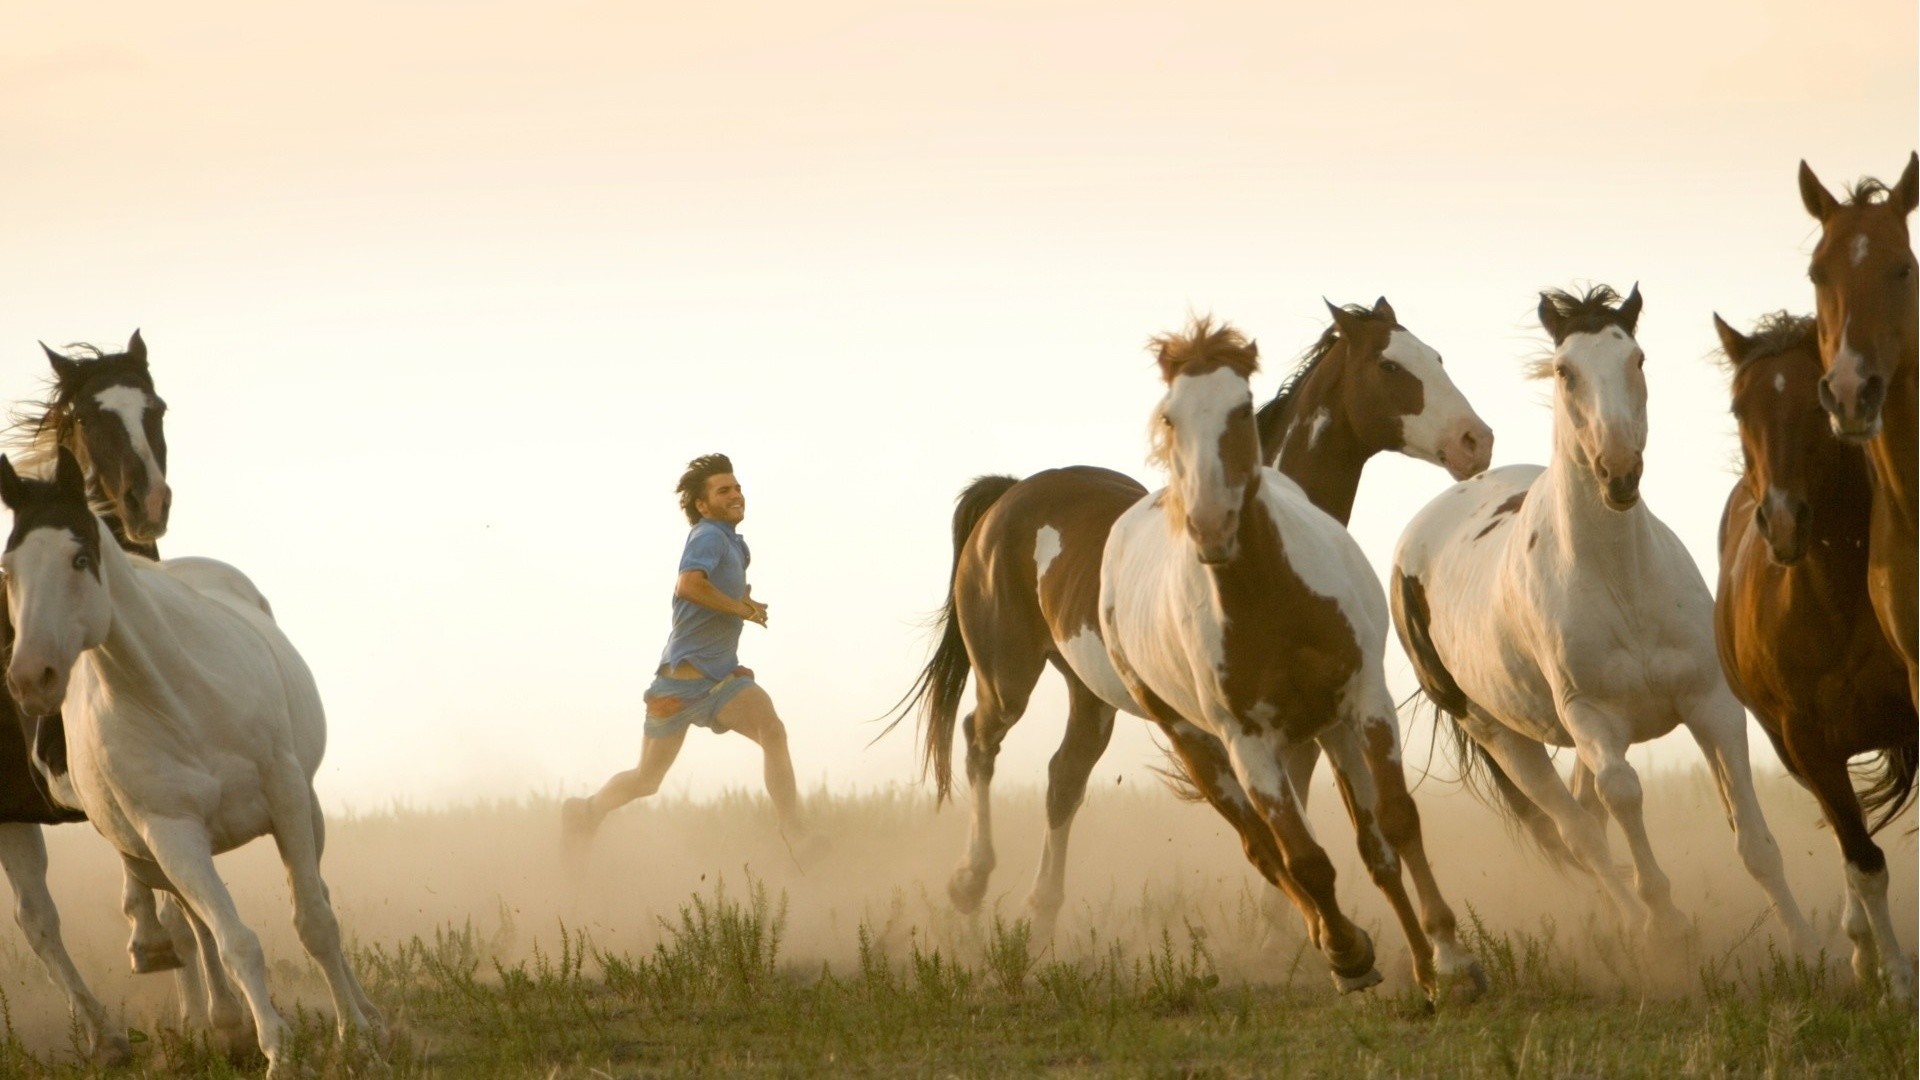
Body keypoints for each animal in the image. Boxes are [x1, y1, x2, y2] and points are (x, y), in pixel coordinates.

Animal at [0, 331, 185, 1063]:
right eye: (84, 417)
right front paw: (150, 940)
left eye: (155, 408)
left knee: (36, 919)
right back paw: (105, 1036)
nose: (145, 505)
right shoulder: (58, 770)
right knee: (38, 923)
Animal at [0, 448, 380, 1076]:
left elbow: (316, 924)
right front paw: (278, 1052)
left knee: (318, 898)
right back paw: (221, 1024)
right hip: (148, 852)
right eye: (9, 570)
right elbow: (233, 942)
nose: (32, 679)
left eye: (79, 558)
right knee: (175, 926)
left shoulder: (287, 799)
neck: (174, 698)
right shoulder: (172, 835)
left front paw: (359, 1039)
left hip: (309, 811)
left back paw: (367, 1015)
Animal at [1091, 316, 1480, 996]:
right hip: (1191, 739)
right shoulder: (1254, 743)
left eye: (1433, 357)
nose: (1473, 440)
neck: (1271, 592)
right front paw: (1348, 953)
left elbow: (1391, 828)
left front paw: (1444, 964)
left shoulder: (1352, 709)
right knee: (1264, 849)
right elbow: (1305, 858)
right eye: (1388, 366)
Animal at [1390, 285, 1817, 954]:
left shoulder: (1712, 704)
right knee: (1577, 830)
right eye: (1565, 370)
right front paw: (1664, 919)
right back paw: (1634, 923)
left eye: (1637, 359)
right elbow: (1624, 796)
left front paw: (1804, 940)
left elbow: (1754, 840)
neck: (1621, 580)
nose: (1619, 471)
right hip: (1503, 735)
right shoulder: (1594, 719)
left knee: (1586, 814)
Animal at [1712, 310, 1917, 998]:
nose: (1782, 523)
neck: (1834, 597)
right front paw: (1895, 980)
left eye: (1816, 402)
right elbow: (1864, 860)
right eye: (1739, 408)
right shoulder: (1808, 744)